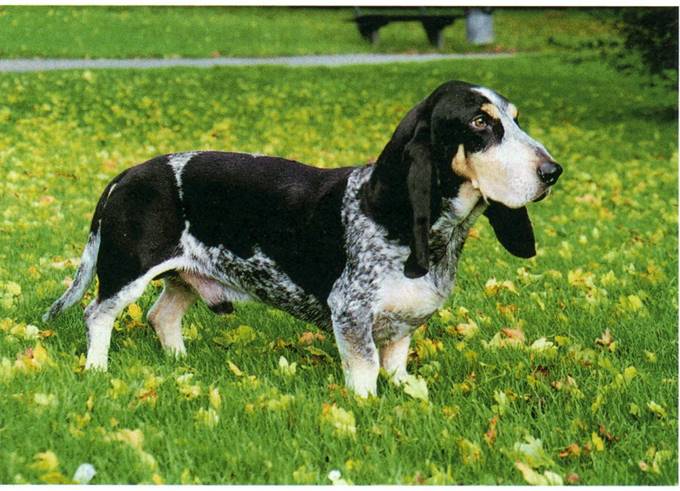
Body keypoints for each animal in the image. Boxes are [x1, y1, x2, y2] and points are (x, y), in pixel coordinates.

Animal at [43, 80, 564, 396]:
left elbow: (396, 367)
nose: (553, 172)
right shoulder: (351, 316)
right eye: (480, 122)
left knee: (161, 315)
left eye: (516, 118)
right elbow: (365, 371)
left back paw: (179, 361)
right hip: (126, 273)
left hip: (183, 278)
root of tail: (127, 173)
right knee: (98, 315)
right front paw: (367, 405)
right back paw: (97, 368)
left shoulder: (402, 328)